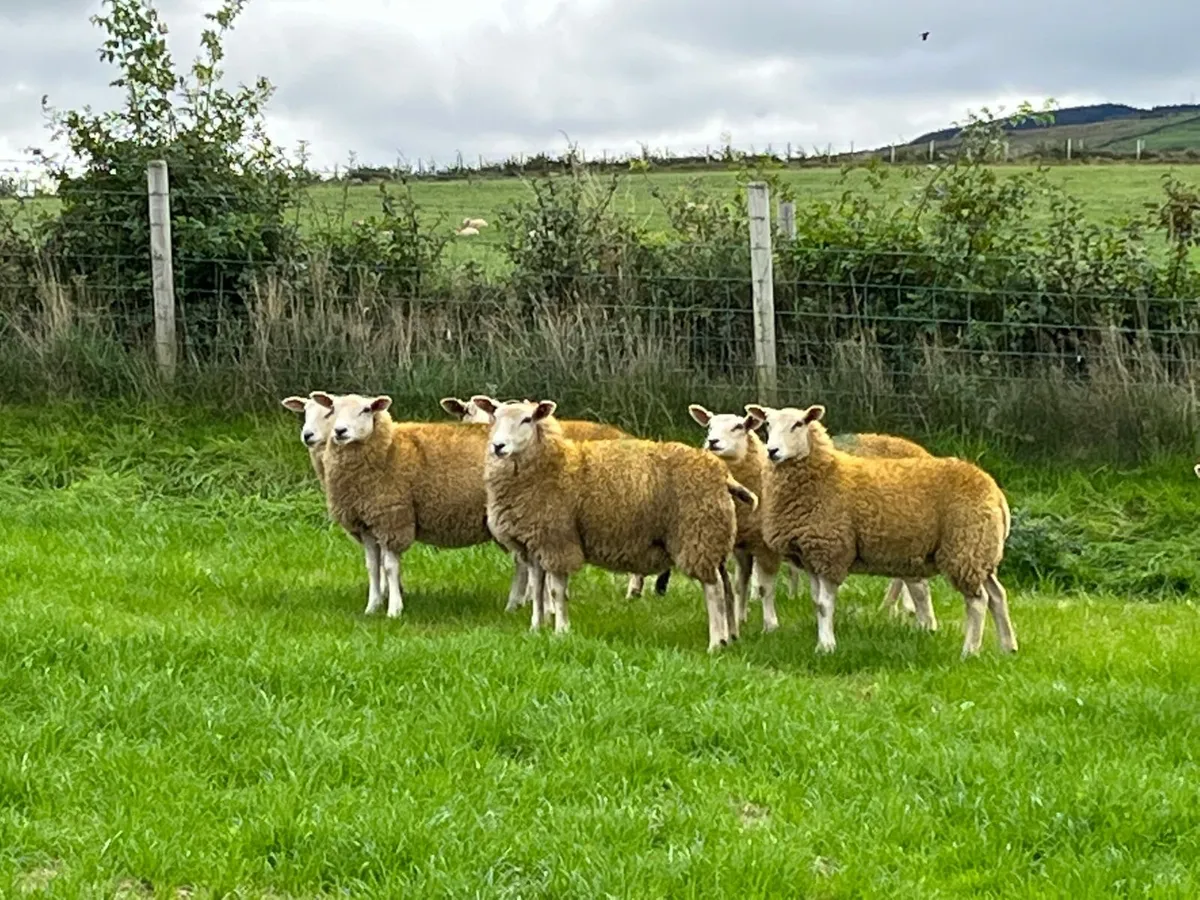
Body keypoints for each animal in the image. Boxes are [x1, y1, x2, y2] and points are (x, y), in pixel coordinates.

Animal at [313, 391, 512, 618]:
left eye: (366, 409)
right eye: (332, 409)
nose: (340, 431)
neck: (388, 449)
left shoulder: (392, 520)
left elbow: (389, 567)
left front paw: (394, 610)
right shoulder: (367, 524)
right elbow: (372, 567)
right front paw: (372, 607)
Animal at [470, 395, 757, 651]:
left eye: (527, 419)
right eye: (494, 416)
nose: (498, 446)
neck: (551, 467)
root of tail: (722, 474)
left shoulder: (558, 541)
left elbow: (556, 592)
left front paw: (561, 631)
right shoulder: (534, 545)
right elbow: (537, 589)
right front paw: (536, 628)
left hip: (697, 535)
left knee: (714, 590)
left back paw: (715, 643)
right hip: (713, 538)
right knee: (727, 588)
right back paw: (732, 636)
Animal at [746, 403, 1016, 658]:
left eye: (799, 424)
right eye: (767, 424)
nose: (772, 451)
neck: (826, 475)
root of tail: (995, 492)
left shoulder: (831, 550)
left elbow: (823, 605)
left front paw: (826, 647)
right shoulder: (812, 557)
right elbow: (817, 602)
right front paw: (824, 640)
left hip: (965, 548)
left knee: (978, 601)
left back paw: (969, 651)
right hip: (981, 550)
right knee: (997, 595)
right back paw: (1008, 647)